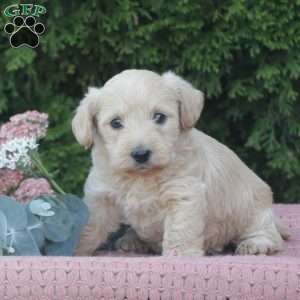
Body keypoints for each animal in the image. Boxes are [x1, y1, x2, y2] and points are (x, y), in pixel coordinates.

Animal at [72, 69, 286, 255]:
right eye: (116, 123)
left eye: (159, 117)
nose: (141, 154)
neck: (141, 177)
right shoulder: (100, 197)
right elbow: (89, 227)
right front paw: (75, 249)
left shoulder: (183, 195)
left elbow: (180, 233)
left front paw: (180, 256)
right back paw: (133, 239)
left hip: (252, 210)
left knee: (269, 234)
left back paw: (255, 243)